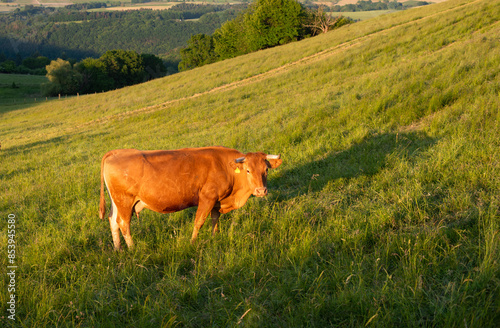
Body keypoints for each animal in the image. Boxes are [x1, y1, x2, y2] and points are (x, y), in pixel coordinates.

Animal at [99, 146, 282, 249]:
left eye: (266, 170)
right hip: (124, 201)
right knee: (123, 224)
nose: (261, 191)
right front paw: (192, 243)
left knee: (113, 221)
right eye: (248, 170)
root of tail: (116, 152)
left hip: (117, 203)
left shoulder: (217, 201)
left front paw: (215, 237)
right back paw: (132, 249)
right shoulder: (207, 198)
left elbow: (214, 219)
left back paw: (118, 249)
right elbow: (199, 222)